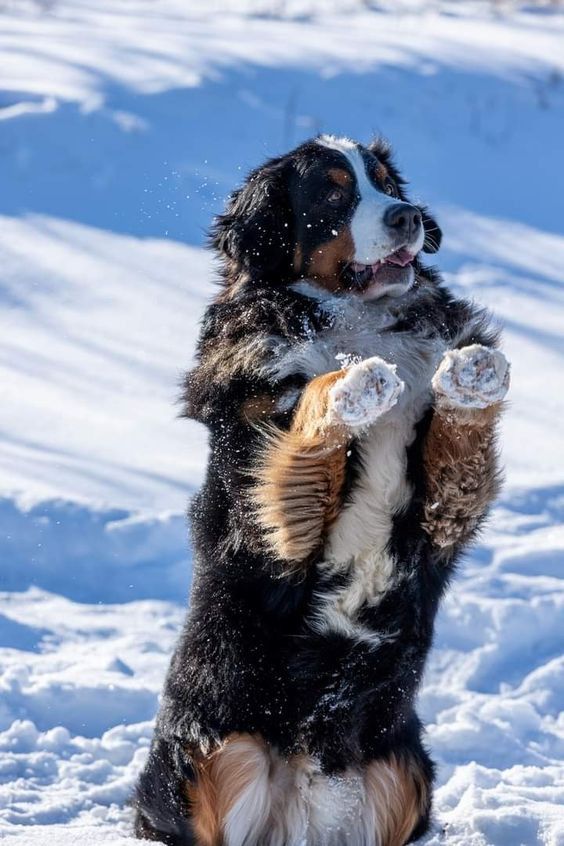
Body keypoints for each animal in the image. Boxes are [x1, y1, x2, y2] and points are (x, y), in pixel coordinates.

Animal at [133, 136, 512, 844]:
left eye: (386, 182)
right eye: (335, 194)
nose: (407, 216)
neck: (355, 324)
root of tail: (305, 803)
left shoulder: (439, 513)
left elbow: (459, 448)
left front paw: (472, 373)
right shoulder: (280, 524)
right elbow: (308, 415)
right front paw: (351, 384)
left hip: (405, 769)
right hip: (213, 752)